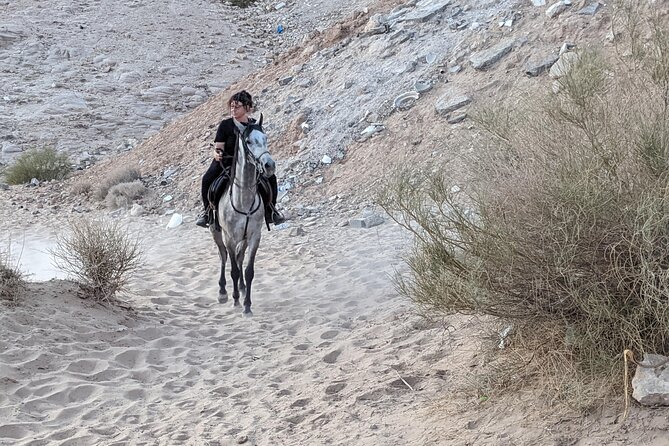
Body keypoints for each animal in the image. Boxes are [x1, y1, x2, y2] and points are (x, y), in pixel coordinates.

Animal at [210, 115, 275, 316]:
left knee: (239, 258)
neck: (243, 200)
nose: (269, 165)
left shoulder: (254, 236)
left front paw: (247, 305)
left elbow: (248, 270)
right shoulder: (229, 237)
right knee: (223, 257)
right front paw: (236, 300)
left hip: (244, 238)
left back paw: (242, 288)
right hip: (216, 232)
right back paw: (223, 292)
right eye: (248, 141)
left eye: (265, 138)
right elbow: (233, 270)